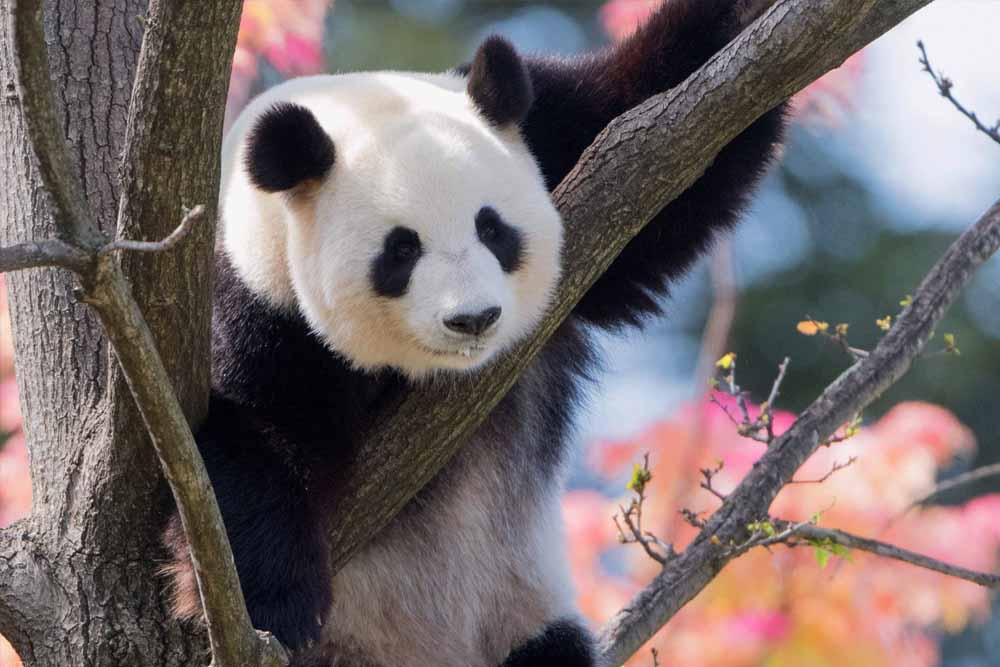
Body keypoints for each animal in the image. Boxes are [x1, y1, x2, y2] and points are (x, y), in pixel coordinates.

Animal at [163, 1, 787, 665]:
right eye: (401, 249)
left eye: (493, 228)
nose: (473, 318)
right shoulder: (249, 300)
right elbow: (244, 435)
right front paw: (277, 603)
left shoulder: (557, 133)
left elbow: (674, 139)